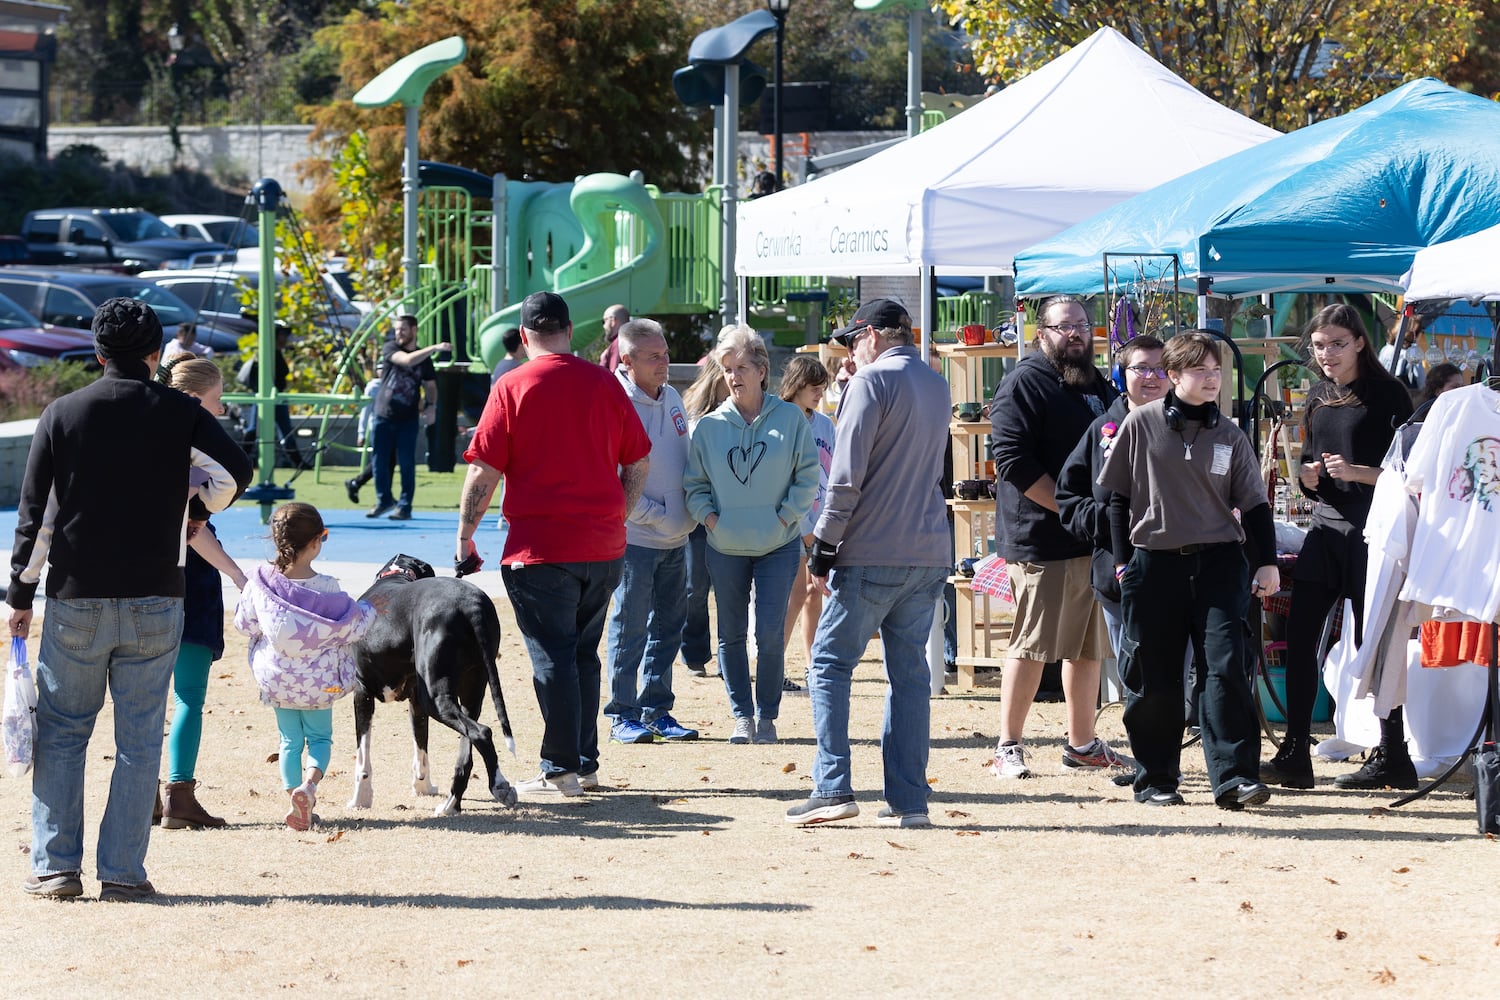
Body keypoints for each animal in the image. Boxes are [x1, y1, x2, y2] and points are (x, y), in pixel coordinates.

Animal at [348, 551, 519, 815]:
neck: (398, 574)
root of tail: (471, 605)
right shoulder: (416, 702)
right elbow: (421, 748)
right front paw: (423, 787)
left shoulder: (362, 692)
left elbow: (362, 757)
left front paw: (360, 799)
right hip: (471, 690)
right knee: (467, 750)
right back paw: (451, 804)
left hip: (435, 699)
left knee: (482, 732)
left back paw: (499, 785)